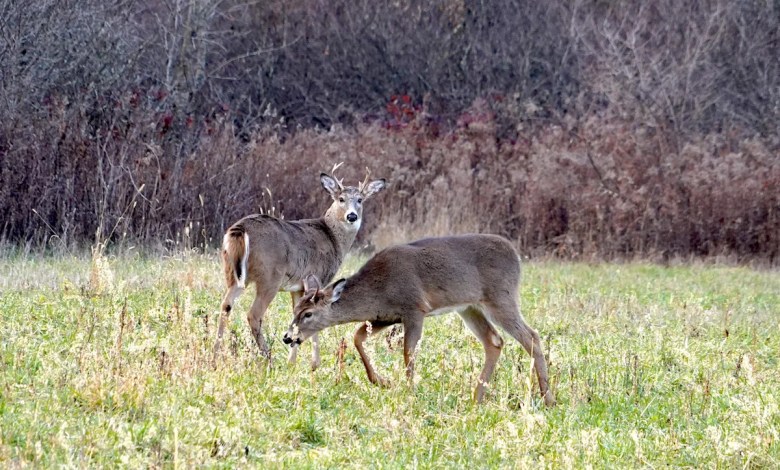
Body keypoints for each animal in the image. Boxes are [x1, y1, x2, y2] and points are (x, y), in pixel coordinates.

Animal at [215, 164, 387, 370]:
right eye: (341, 199)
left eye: (360, 200)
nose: (351, 216)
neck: (333, 238)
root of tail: (240, 230)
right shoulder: (318, 277)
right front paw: (314, 363)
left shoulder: (297, 287)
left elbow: (297, 314)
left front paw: (292, 361)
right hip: (270, 276)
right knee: (253, 314)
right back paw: (268, 359)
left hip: (234, 273)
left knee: (225, 306)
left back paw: (215, 355)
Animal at [282, 234, 556, 407]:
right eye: (295, 309)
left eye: (308, 314)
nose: (287, 337)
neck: (377, 288)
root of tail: (516, 256)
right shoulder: (384, 317)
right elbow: (357, 336)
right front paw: (381, 381)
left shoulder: (414, 307)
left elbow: (408, 353)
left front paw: (409, 392)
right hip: (470, 307)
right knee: (494, 341)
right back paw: (477, 397)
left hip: (501, 297)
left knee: (531, 336)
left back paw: (548, 398)